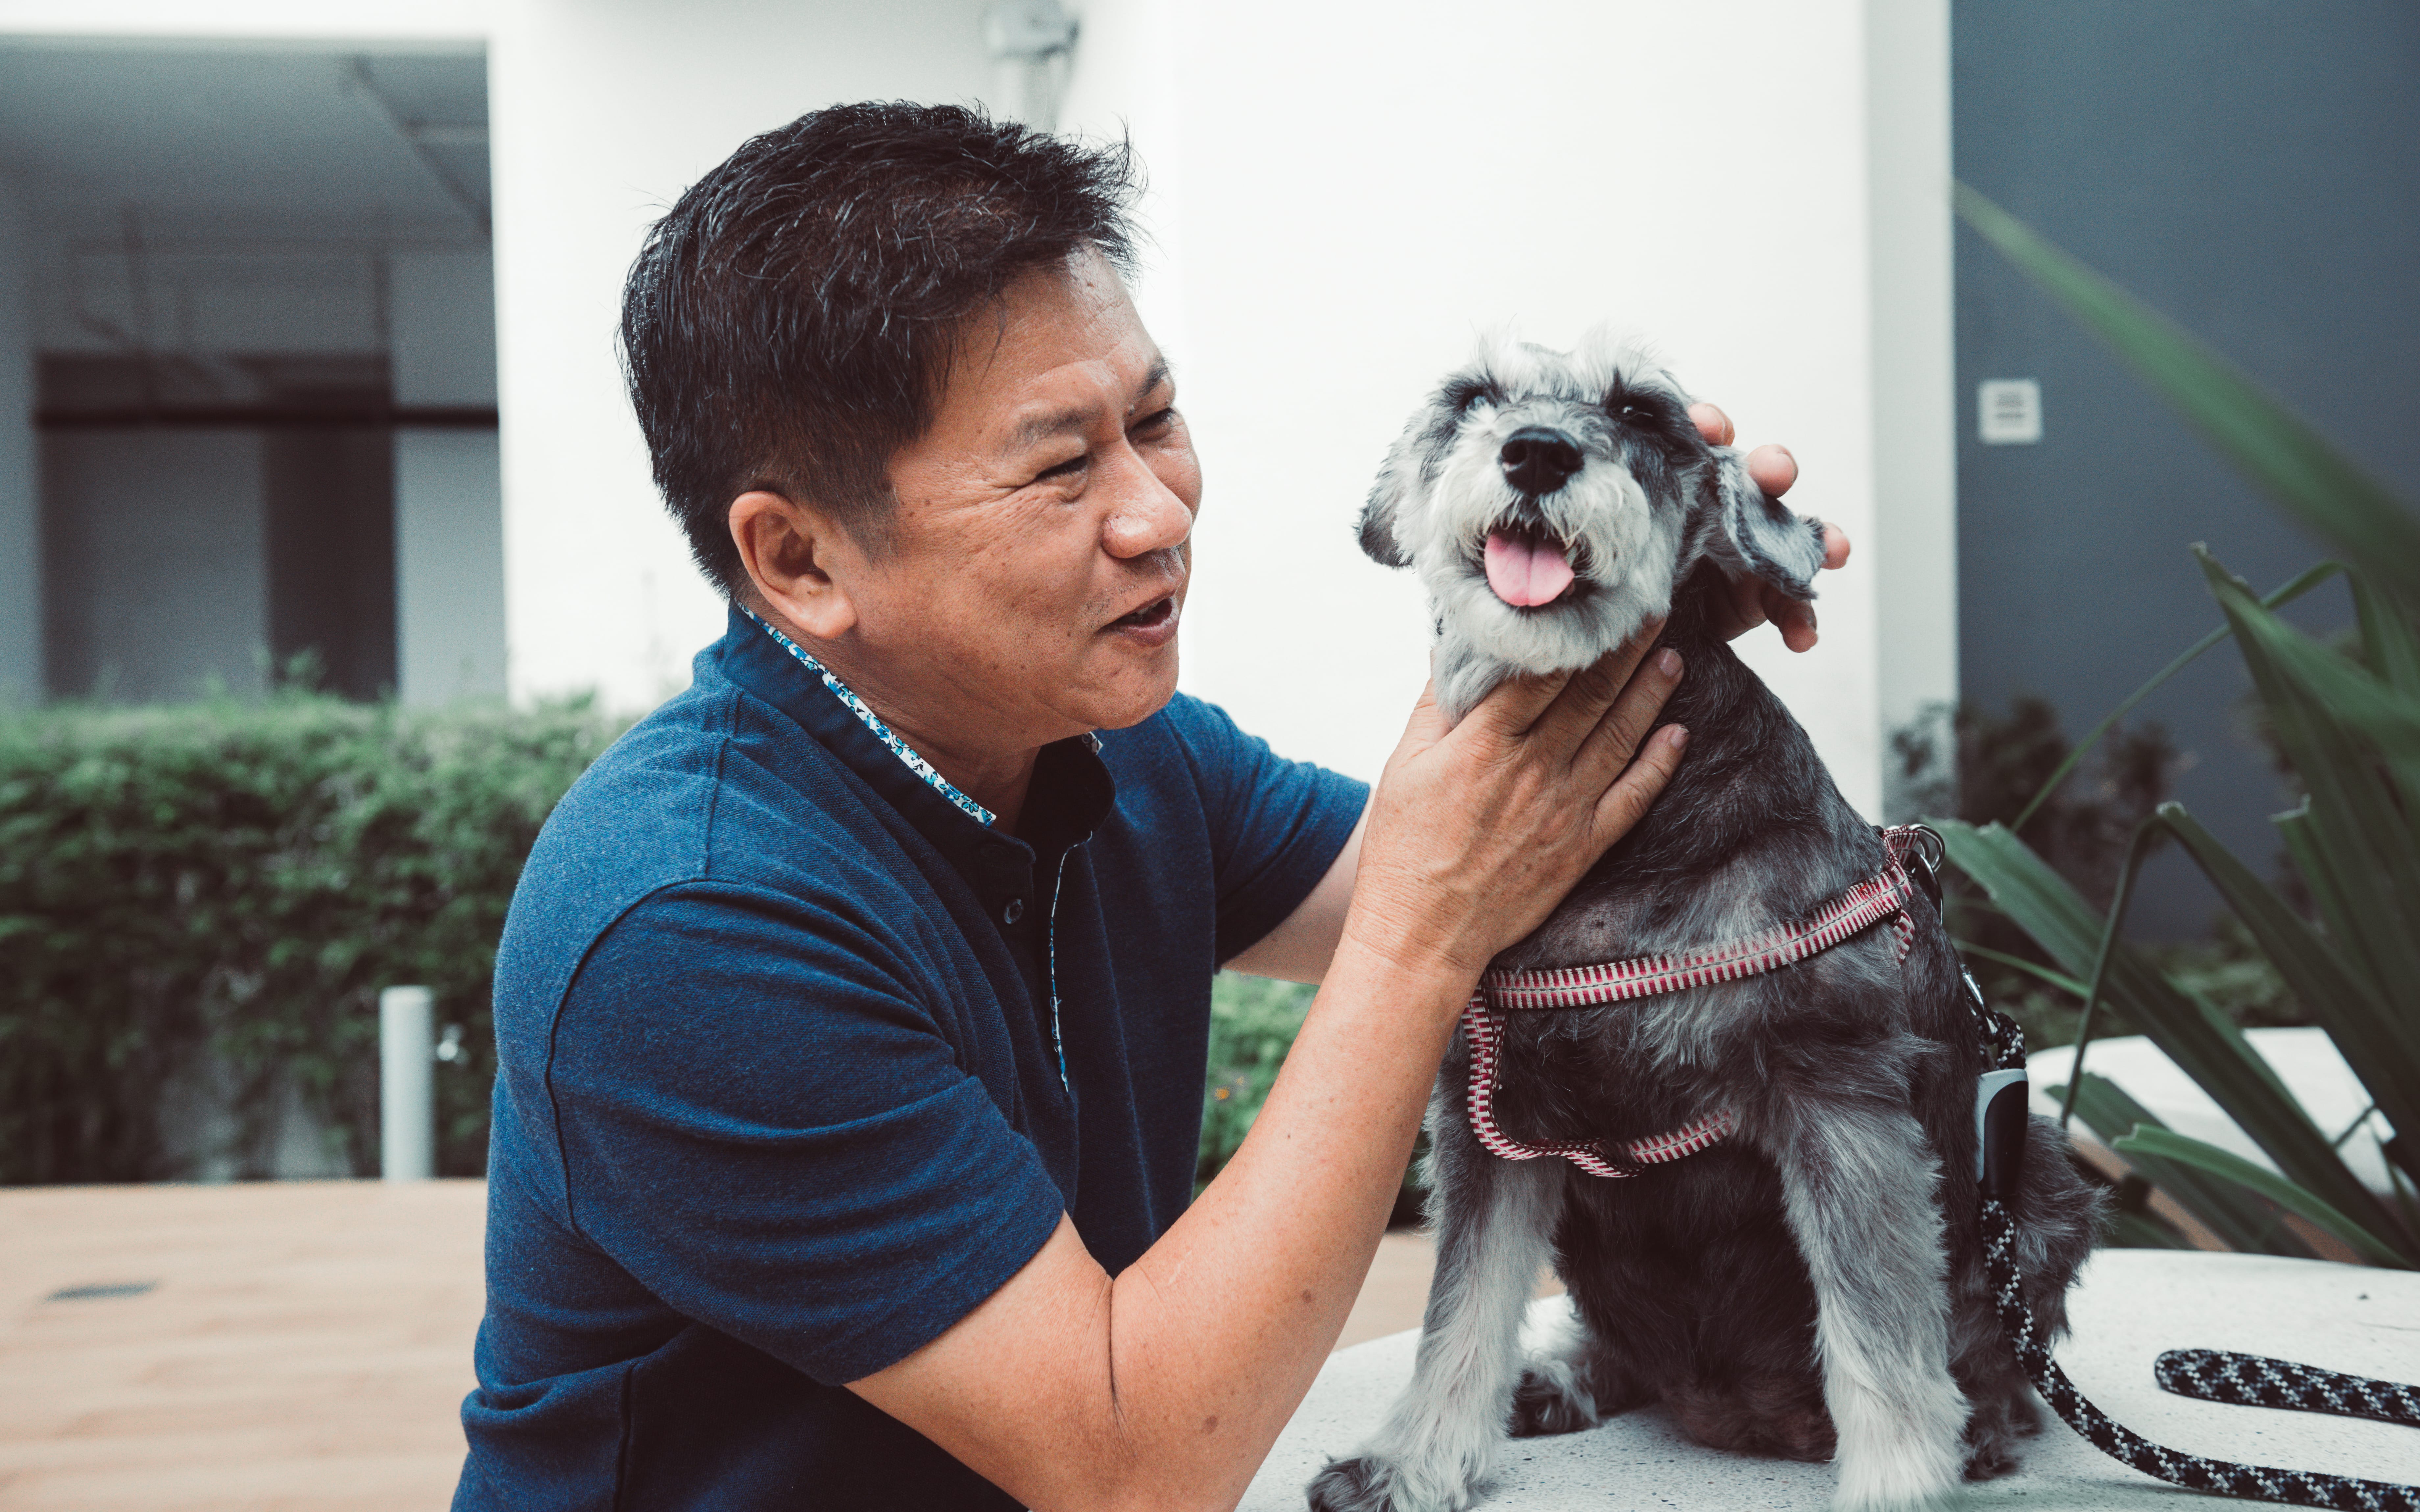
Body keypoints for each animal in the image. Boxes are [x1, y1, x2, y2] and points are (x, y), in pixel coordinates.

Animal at [1307, 336, 2100, 1509]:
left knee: (1993, 1345)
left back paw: (1987, 1429)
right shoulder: (1487, 1118)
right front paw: (1411, 1464)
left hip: (2034, 1176)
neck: (1616, 865)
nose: (1534, 451)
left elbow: (1878, 1329)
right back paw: (1561, 1377)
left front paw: (1898, 1483)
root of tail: (1728, 1411)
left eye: (1642, 412)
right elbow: (1461, 1307)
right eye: (1472, 397)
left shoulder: (1838, 1101)